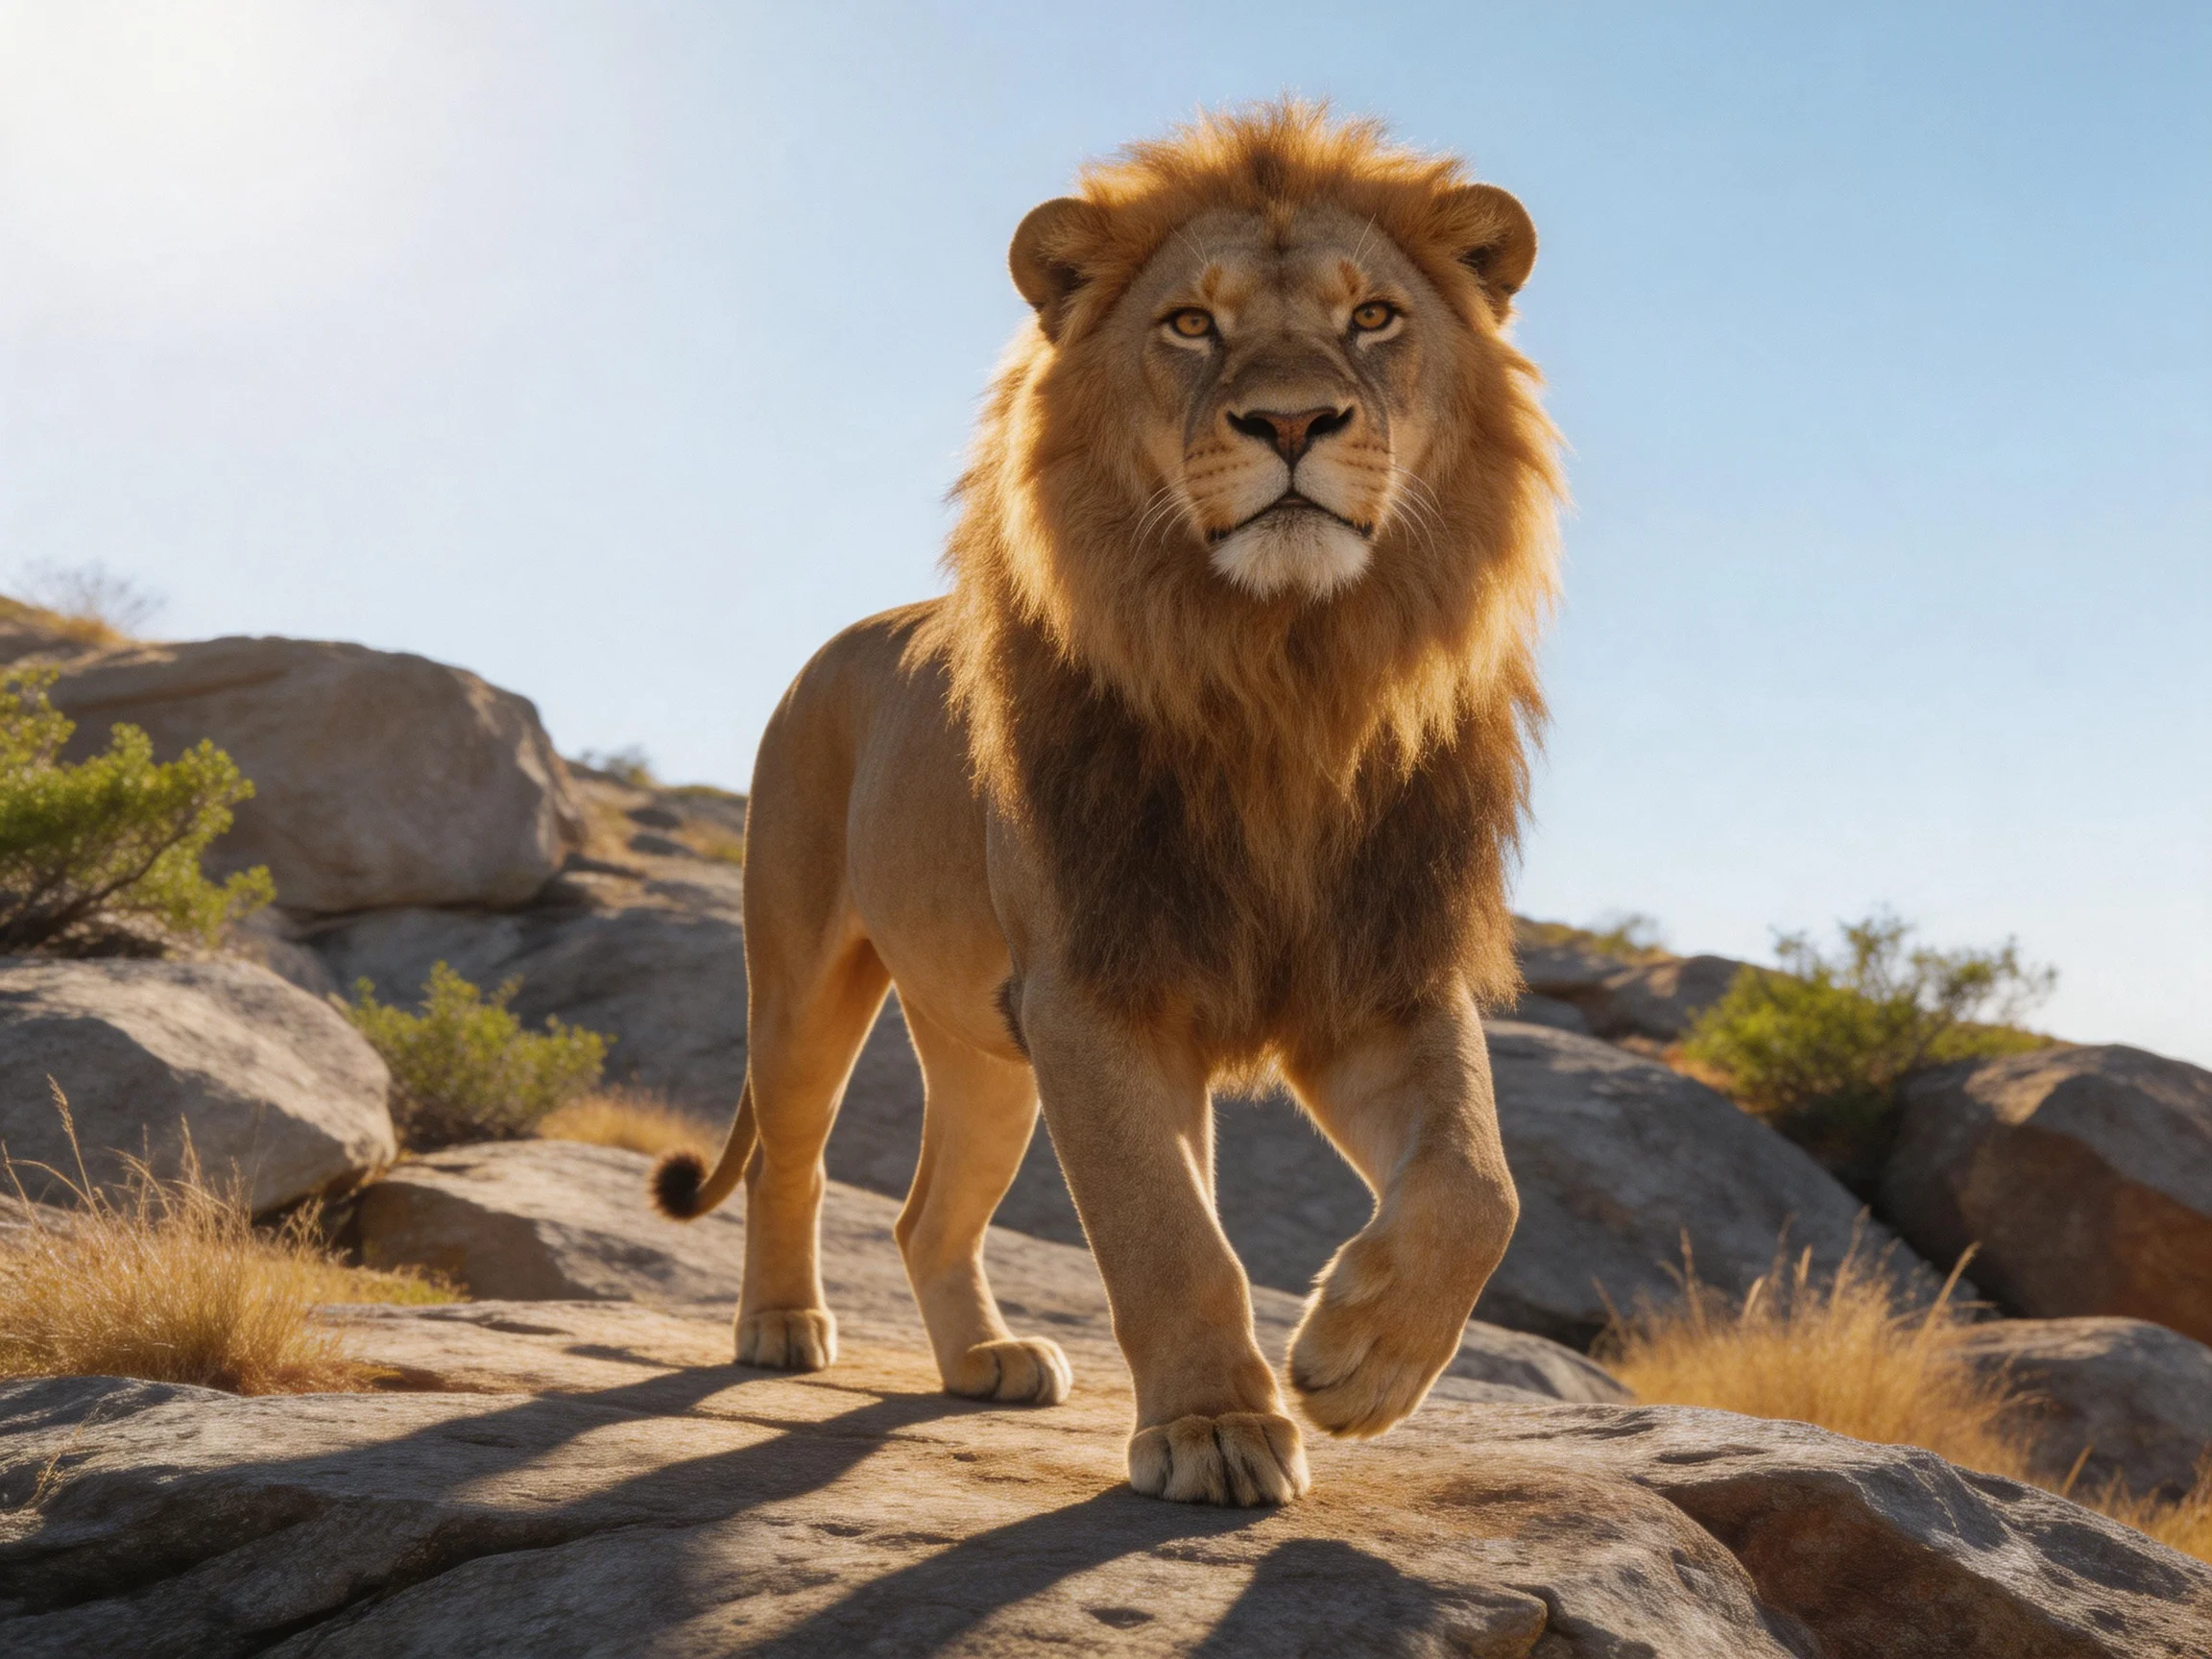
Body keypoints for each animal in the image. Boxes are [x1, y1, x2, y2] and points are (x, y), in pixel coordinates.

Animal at [651, 100, 1562, 1508]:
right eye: (1191, 322)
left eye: (1373, 318)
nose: (1291, 423)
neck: (1285, 674)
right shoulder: (1097, 985)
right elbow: (1164, 1230)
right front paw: (1216, 1429)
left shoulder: (1375, 970)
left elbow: (1477, 1180)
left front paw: (1358, 1360)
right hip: (802, 977)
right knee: (795, 1158)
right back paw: (782, 1327)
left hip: (986, 1055)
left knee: (927, 1210)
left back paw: (985, 1361)